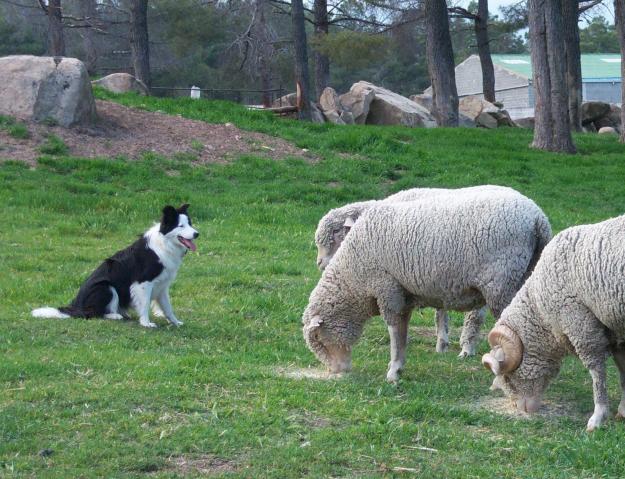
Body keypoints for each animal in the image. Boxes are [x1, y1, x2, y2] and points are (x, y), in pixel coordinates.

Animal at [304, 190, 552, 382]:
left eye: (318, 339)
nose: (336, 372)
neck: (353, 275)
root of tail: (538, 218)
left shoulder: (387, 289)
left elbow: (394, 331)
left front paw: (393, 371)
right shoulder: (406, 292)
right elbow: (404, 330)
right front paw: (400, 366)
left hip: (501, 283)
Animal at [482, 216, 625, 434]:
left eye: (508, 378)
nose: (521, 408)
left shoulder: (580, 325)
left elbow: (597, 372)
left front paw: (598, 416)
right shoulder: (615, 330)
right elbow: (623, 368)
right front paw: (623, 410)